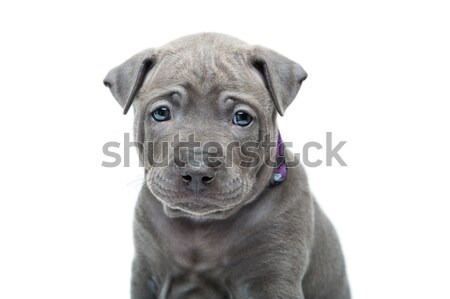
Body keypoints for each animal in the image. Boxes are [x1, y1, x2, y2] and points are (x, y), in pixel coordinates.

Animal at [103, 33, 350, 299]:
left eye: (242, 118)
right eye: (161, 113)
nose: (197, 169)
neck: (200, 225)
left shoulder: (273, 279)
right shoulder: (146, 273)